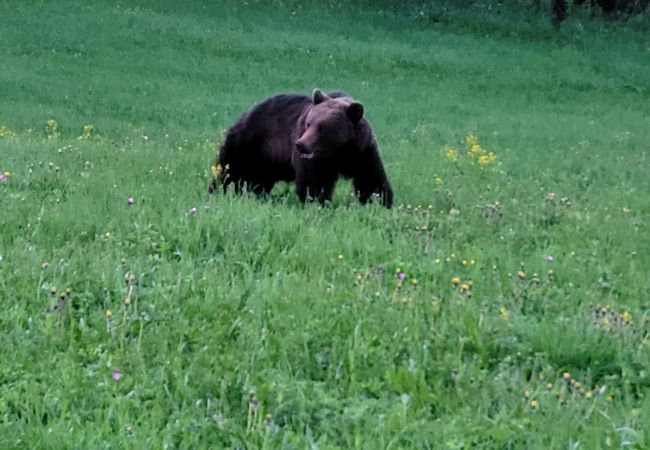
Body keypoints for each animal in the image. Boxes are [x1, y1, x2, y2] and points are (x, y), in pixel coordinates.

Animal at [209, 89, 390, 207]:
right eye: (309, 123)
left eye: (322, 128)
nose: (301, 144)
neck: (339, 153)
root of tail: (244, 114)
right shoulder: (315, 162)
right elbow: (314, 183)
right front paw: (319, 203)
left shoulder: (362, 152)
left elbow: (371, 180)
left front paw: (380, 202)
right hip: (248, 145)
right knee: (229, 171)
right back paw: (217, 191)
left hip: (265, 161)